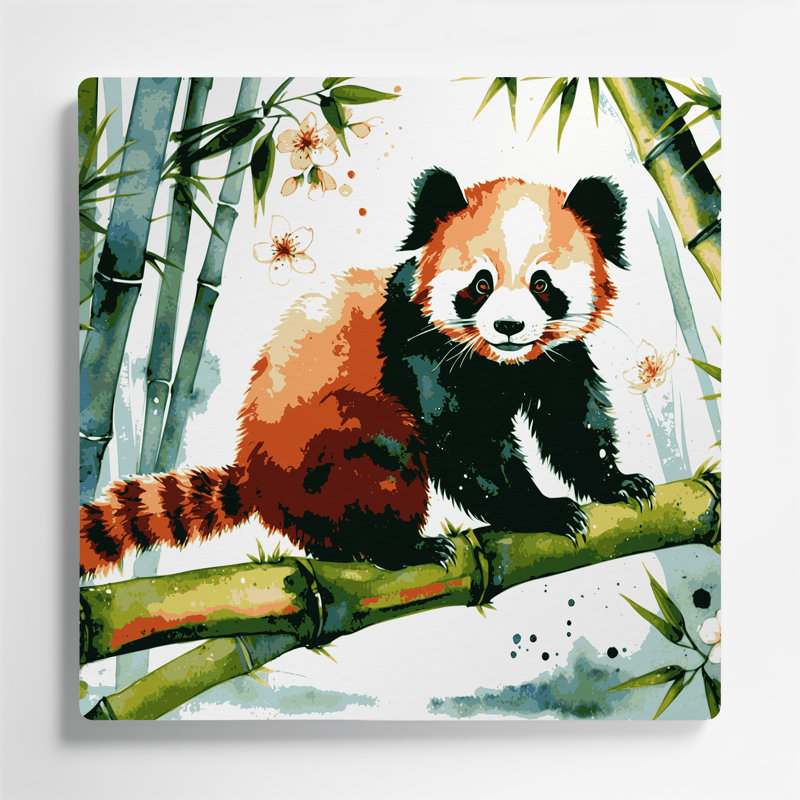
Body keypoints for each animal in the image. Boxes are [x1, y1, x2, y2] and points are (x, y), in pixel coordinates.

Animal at [80, 167, 654, 576]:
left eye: (541, 284)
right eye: (481, 284)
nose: (508, 327)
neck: (500, 364)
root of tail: (256, 474)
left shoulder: (554, 357)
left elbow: (571, 419)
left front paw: (617, 483)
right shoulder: (418, 348)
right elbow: (463, 443)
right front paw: (542, 510)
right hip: (327, 445)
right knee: (383, 460)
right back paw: (400, 547)